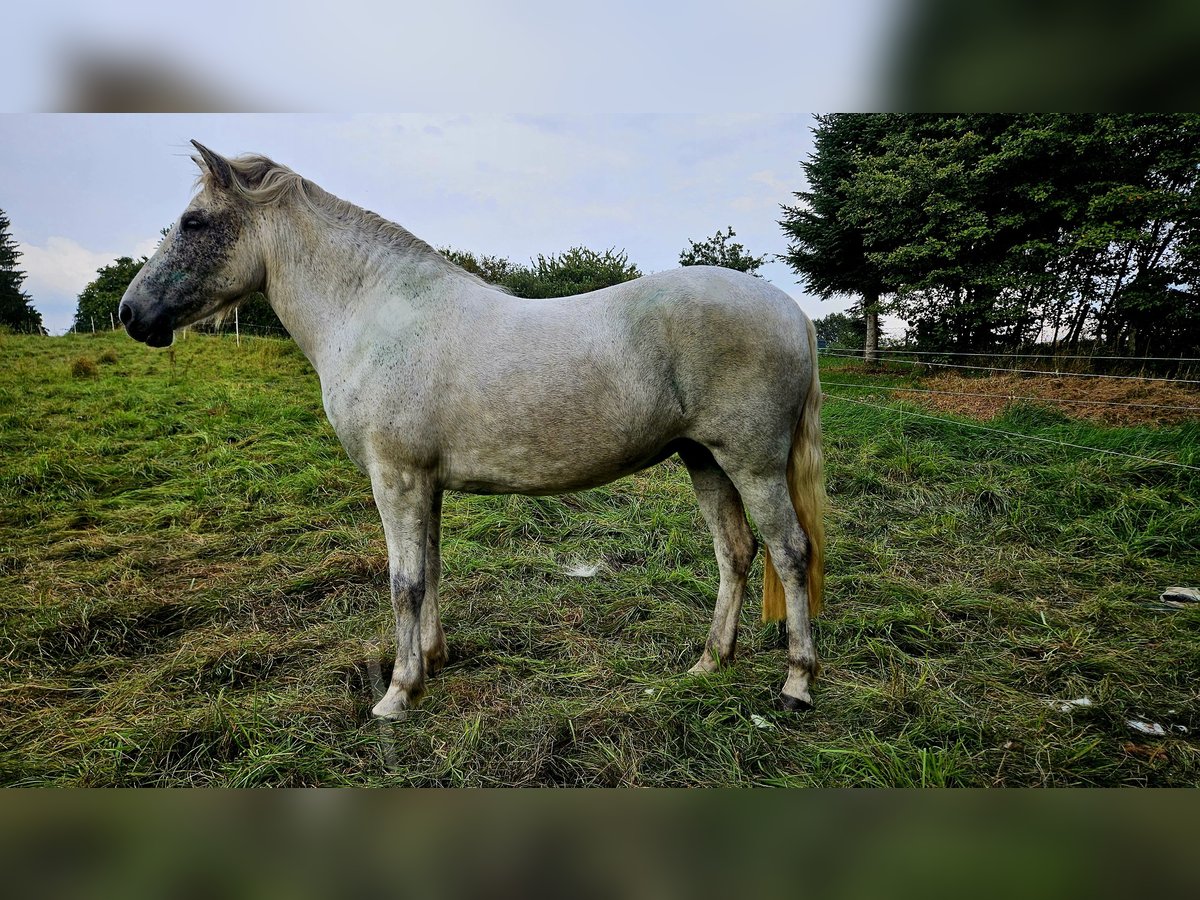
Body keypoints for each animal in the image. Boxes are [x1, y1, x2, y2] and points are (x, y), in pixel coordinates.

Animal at [121, 139, 830, 720]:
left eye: (193, 221)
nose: (130, 313)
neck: (375, 315)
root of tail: (793, 311)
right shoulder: (424, 484)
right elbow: (430, 571)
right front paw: (431, 663)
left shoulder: (397, 480)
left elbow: (404, 584)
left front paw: (397, 694)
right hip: (702, 458)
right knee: (736, 553)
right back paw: (708, 664)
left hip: (752, 464)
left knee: (790, 553)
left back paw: (797, 684)